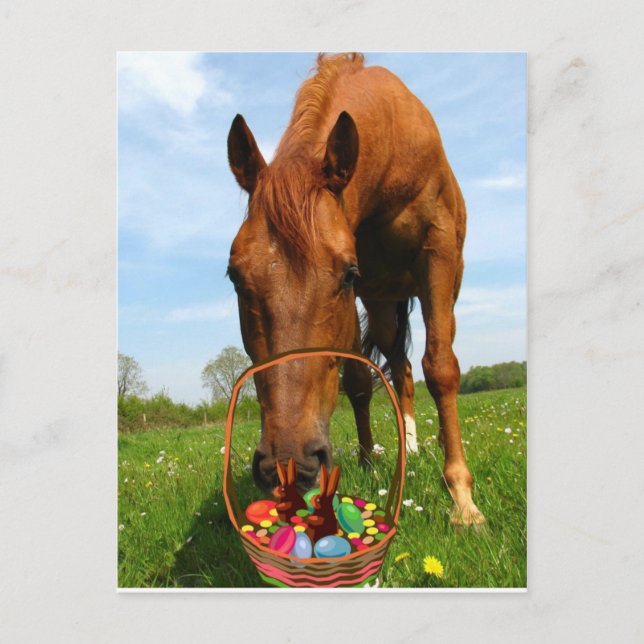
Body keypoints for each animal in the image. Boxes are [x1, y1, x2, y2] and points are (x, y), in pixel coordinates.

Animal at [226, 53, 484, 526]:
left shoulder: (435, 249)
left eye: (345, 273)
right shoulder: (365, 294)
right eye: (235, 275)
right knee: (400, 370)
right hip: (382, 305)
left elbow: (441, 368)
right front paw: (366, 461)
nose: (288, 463)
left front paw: (462, 498)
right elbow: (359, 381)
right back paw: (408, 445)